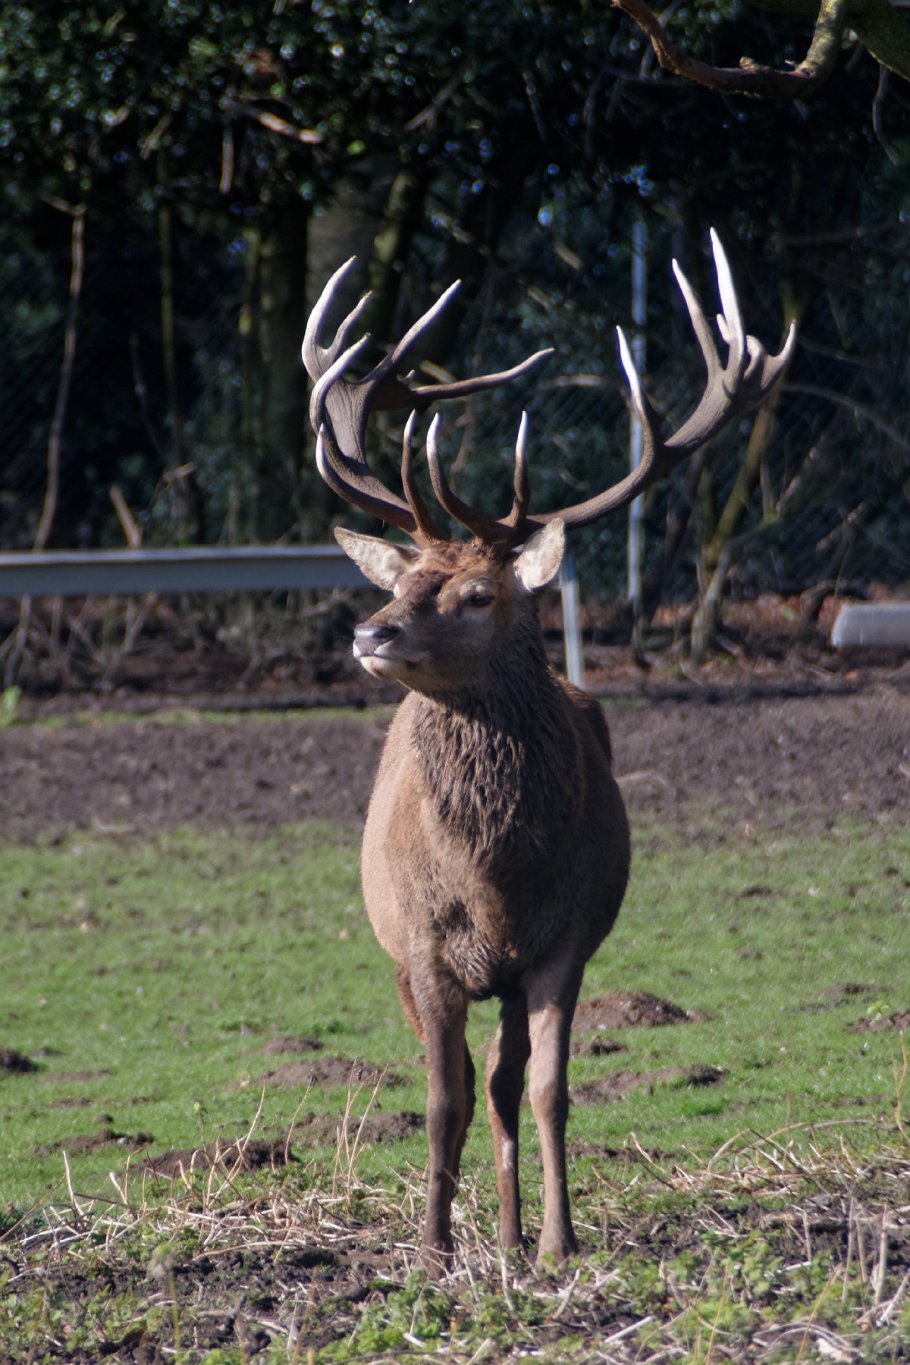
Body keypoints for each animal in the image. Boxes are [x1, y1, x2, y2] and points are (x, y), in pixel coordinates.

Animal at [302, 232, 795, 1274]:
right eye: (403, 578)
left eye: (478, 593)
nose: (370, 632)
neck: (496, 882)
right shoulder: (422, 946)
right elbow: (439, 1097)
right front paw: (433, 1250)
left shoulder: (567, 940)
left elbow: (546, 1091)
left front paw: (558, 1244)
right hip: (400, 955)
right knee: (461, 1078)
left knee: (503, 1080)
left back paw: (512, 1231)